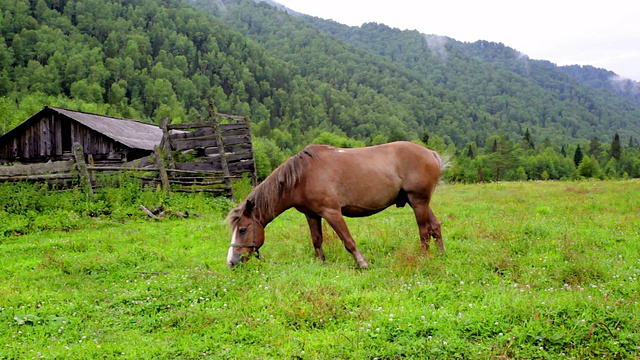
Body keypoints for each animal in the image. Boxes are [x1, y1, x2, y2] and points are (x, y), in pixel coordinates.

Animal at [225, 141, 444, 268]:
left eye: (243, 229)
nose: (231, 262)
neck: (302, 176)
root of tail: (430, 153)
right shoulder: (312, 214)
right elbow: (316, 240)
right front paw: (321, 263)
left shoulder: (331, 212)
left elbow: (348, 241)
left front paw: (362, 264)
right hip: (418, 202)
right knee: (435, 226)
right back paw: (442, 254)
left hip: (418, 201)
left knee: (424, 232)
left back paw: (423, 259)